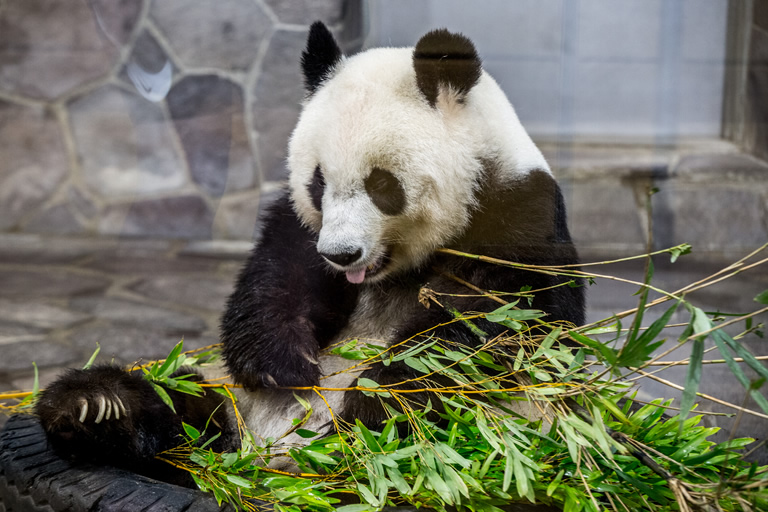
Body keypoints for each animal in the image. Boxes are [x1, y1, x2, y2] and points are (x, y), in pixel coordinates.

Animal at [34, 22, 584, 488]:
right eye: (319, 182)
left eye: (383, 185)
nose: (342, 254)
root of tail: (264, 467)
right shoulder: (300, 227)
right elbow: (279, 279)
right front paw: (285, 364)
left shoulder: (518, 217)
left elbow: (488, 323)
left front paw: (380, 400)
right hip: (229, 404)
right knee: (179, 400)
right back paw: (96, 406)